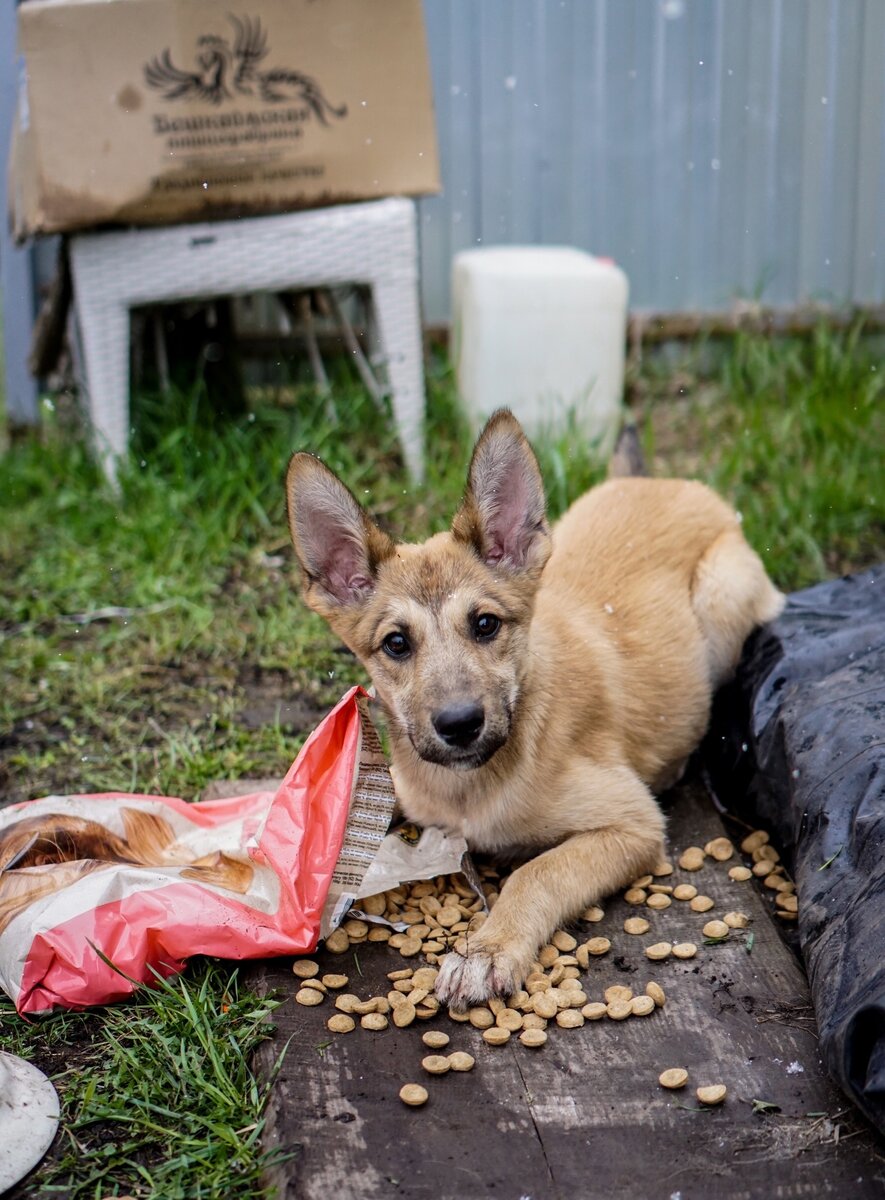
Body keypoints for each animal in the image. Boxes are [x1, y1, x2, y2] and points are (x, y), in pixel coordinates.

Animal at [286, 410, 781, 1003]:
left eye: (485, 624)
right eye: (396, 643)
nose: (459, 725)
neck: (469, 789)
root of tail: (660, 481)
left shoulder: (633, 823)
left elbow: (535, 873)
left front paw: (486, 951)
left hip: (723, 594)